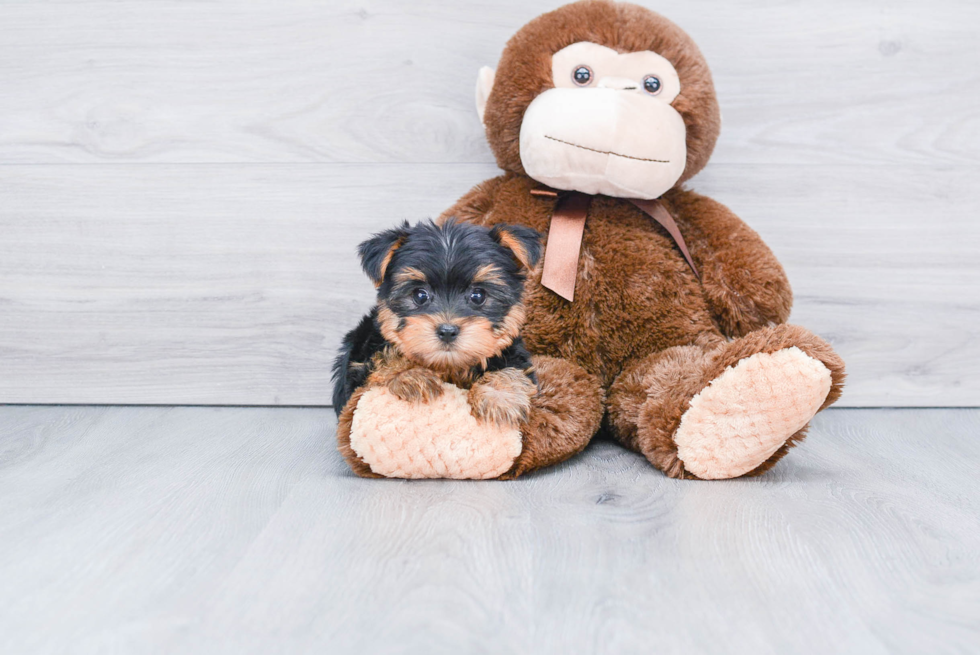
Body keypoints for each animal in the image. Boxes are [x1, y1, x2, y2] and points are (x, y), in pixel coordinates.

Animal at [332, 218, 544, 428]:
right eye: (420, 295)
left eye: (478, 295)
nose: (447, 331)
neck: (448, 367)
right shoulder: (360, 369)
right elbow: (382, 359)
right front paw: (409, 375)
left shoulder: (514, 352)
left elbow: (514, 368)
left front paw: (499, 397)